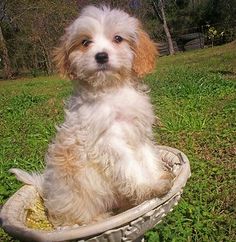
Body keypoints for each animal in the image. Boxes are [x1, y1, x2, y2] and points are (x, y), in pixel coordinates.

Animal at [10, 5, 173, 227]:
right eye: (85, 42)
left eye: (118, 38)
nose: (101, 56)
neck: (112, 90)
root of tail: (46, 192)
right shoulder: (111, 142)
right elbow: (132, 166)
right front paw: (148, 187)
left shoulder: (139, 133)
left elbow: (148, 159)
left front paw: (156, 180)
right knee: (74, 222)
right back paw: (100, 218)